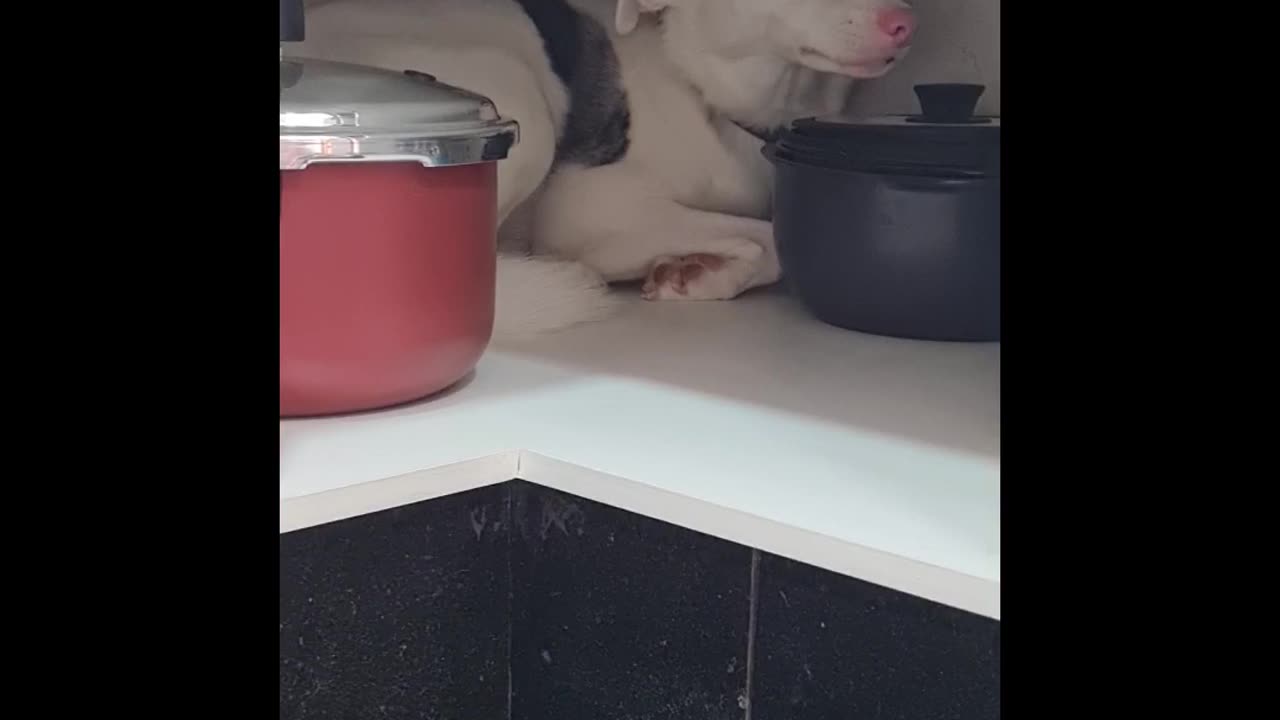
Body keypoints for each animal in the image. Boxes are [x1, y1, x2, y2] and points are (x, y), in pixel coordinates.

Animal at [293, 0, 911, 335]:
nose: (904, 22)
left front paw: (697, 271)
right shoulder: (585, 208)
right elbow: (772, 238)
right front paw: (698, 268)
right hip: (523, 103)